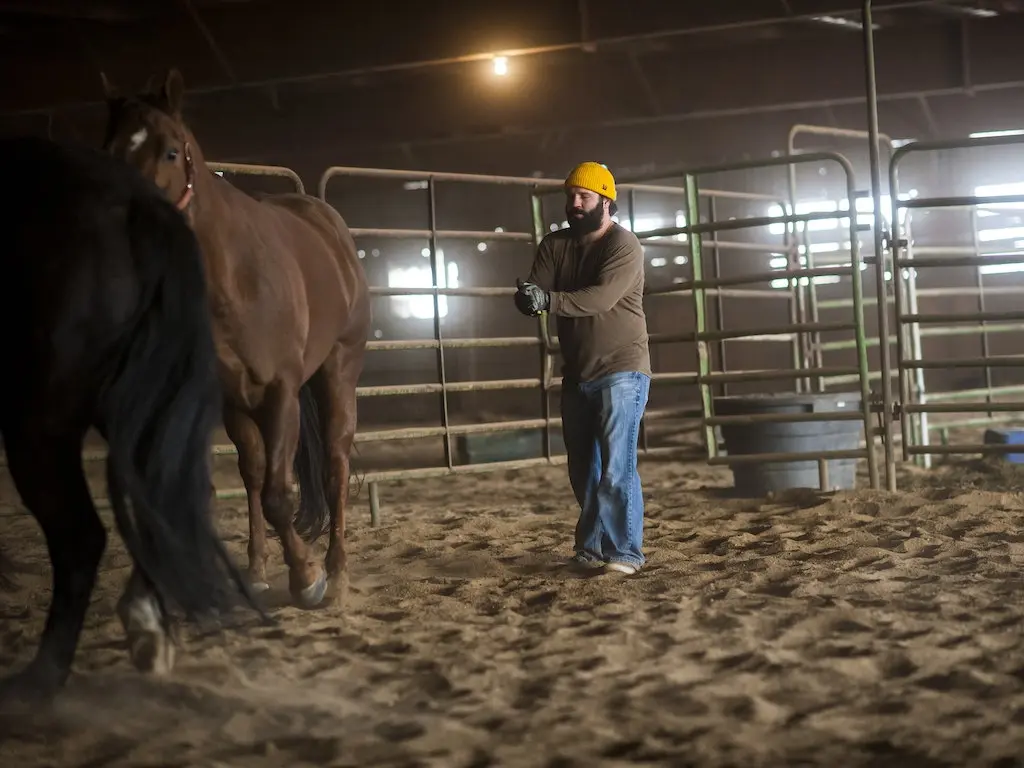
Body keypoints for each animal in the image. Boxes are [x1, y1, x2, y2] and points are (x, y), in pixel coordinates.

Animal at [99, 70, 370, 606]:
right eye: (109, 149)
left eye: (169, 151)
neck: (235, 278)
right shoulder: (230, 399)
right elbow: (256, 483)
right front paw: (261, 570)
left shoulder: (281, 391)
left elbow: (279, 496)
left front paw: (308, 578)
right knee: (256, 475)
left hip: (338, 369)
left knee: (335, 463)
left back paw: (338, 573)